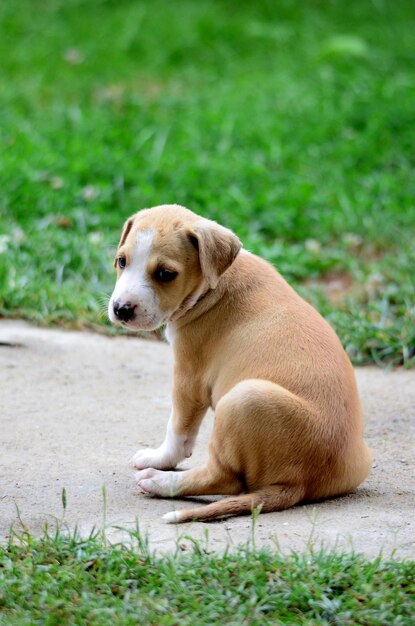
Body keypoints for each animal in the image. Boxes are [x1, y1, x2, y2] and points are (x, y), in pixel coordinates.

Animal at [109, 202, 372, 520]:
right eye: (121, 261)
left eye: (165, 273)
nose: (121, 309)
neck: (215, 281)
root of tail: (299, 483)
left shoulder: (189, 379)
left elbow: (178, 430)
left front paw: (159, 458)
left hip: (243, 399)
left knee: (225, 478)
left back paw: (160, 481)